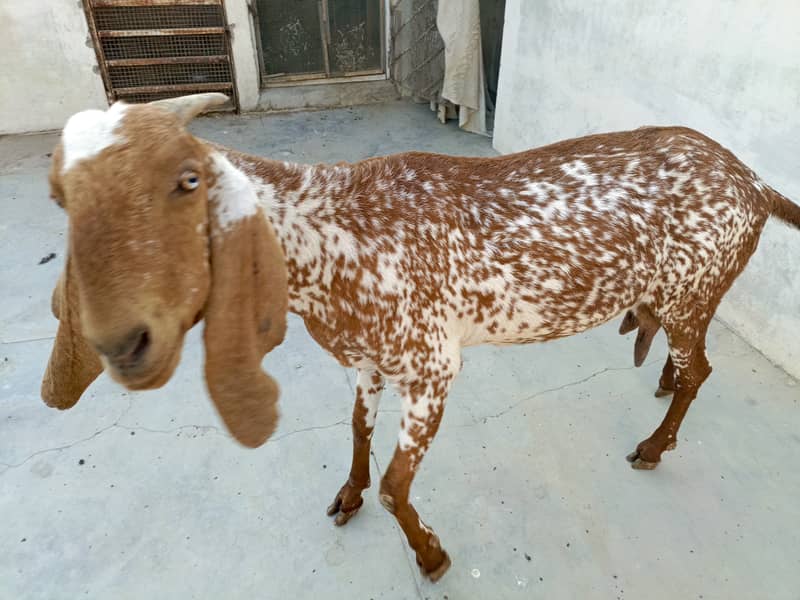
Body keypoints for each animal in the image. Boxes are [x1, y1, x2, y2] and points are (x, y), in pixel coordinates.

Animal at [43, 94, 800, 580]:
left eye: (187, 181)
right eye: (62, 198)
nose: (125, 344)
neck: (331, 233)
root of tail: (755, 183)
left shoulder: (432, 368)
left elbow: (394, 486)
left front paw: (430, 555)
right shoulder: (367, 361)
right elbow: (357, 432)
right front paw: (346, 494)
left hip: (689, 293)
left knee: (702, 370)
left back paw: (652, 445)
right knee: (687, 362)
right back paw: (661, 386)